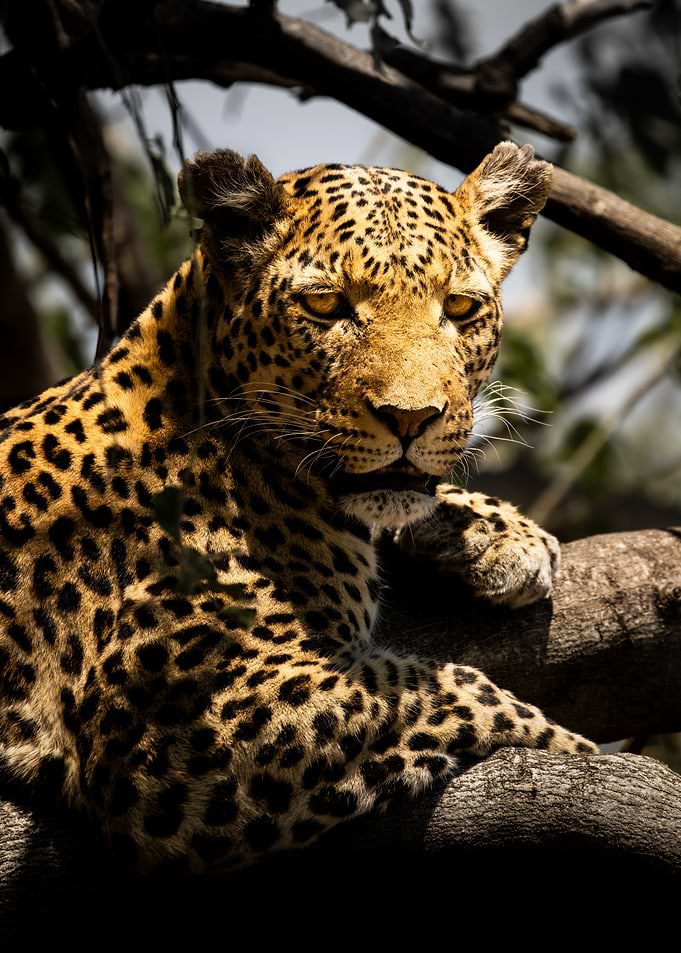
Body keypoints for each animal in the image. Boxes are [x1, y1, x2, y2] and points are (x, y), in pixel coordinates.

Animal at [0, 141, 596, 875]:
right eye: (326, 305)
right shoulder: (176, 731)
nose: (411, 417)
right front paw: (577, 750)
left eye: (458, 307)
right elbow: (444, 691)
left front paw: (494, 533)